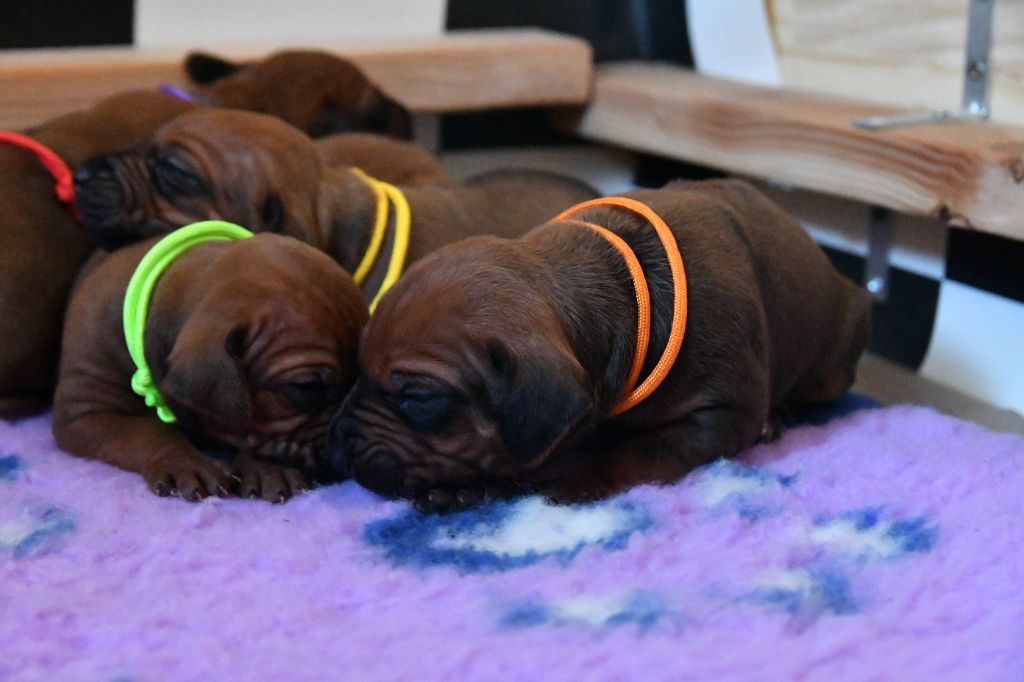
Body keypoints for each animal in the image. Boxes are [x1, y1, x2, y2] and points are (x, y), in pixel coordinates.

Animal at [50, 231, 368, 497]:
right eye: (306, 387)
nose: (346, 449)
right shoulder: (83, 413)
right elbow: (144, 431)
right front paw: (185, 462)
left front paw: (267, 468)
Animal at [327, 178, 872, 507]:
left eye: (417, 398)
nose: (338, 439)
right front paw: (471, 488)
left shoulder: (720, 412)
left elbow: (635, 453)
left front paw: (573, 481)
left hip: (835, 354)